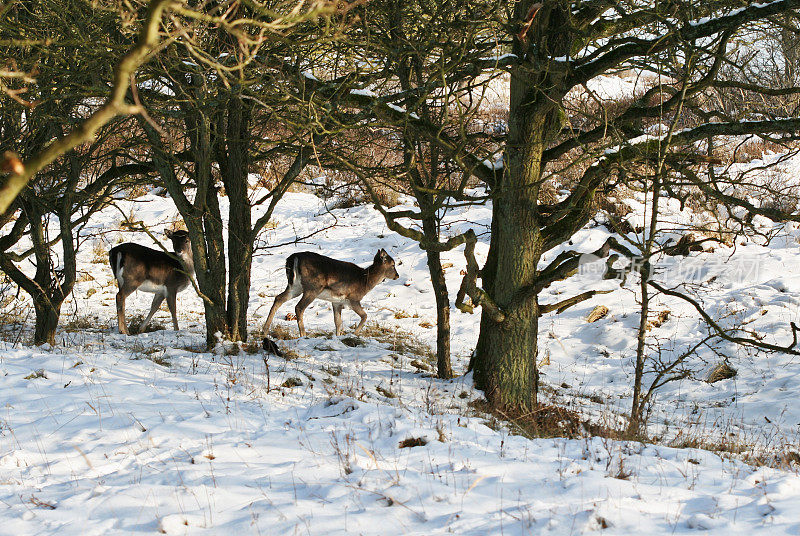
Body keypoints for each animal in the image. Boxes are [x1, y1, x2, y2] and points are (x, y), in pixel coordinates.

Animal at [262, 248, 400, 340]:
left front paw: (338, 336)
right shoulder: (353, 298)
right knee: (299, 307)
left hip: (295, 286)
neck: (365, 282)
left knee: (278, 298)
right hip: (312, 288)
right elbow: (365, 316)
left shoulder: (336, 301)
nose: (397, 276)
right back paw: (303, 335)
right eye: (393, 264)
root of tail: (293, 258)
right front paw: (354, 334)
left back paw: (265, 330)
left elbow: (338, 322)